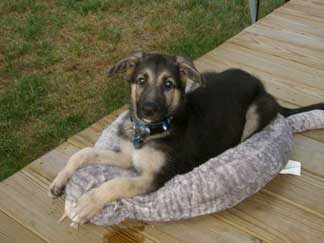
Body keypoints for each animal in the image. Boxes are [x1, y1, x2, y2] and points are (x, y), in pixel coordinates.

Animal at [48, 51, 324, 224]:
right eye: (141, 80)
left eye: (168, 84)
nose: (148, 110)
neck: (153, 130)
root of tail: (263, 87)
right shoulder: (129, 157)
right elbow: (83, 153)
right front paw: (59, 182)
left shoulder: (153, 178)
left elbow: (117, 183)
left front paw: (86, 204)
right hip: (208, 78)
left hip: (256, 111)